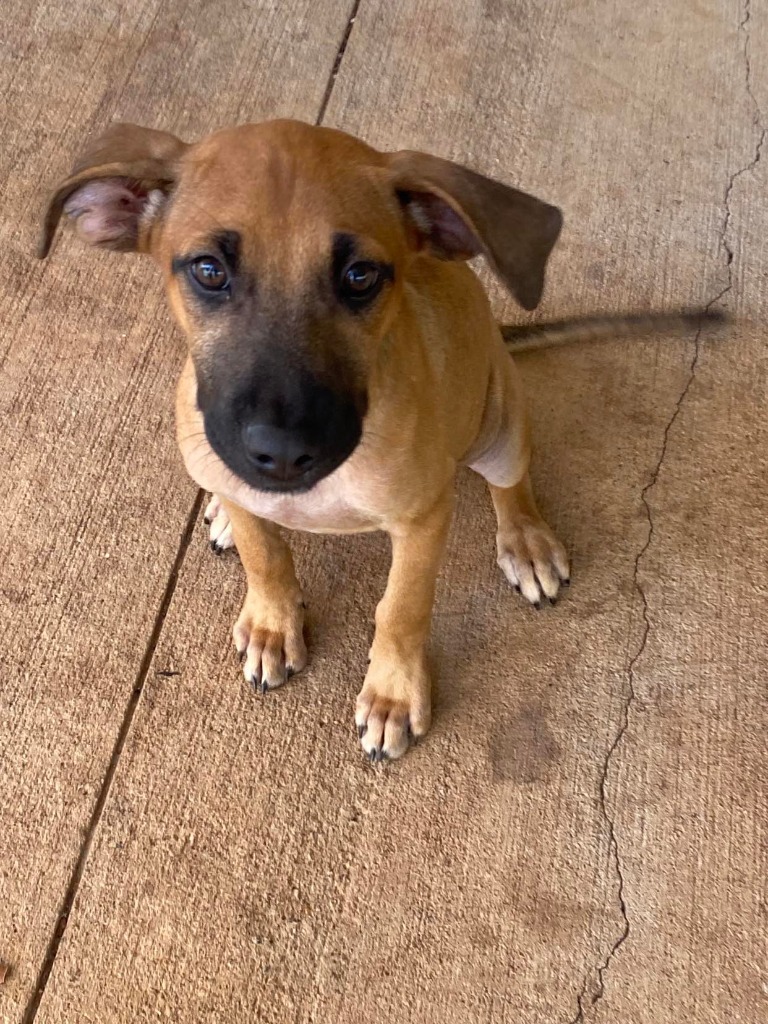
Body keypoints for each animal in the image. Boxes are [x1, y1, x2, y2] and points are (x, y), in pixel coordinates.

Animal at [39, 119, 569, 761]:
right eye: (209, 270)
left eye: (360, 276)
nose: (283, 452)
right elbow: (265, 556)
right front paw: (272, 624)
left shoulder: (422, 520)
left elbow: (402, 608)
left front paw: (392, 693)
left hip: (499, 424)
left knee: (511, 485)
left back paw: (526, 541)